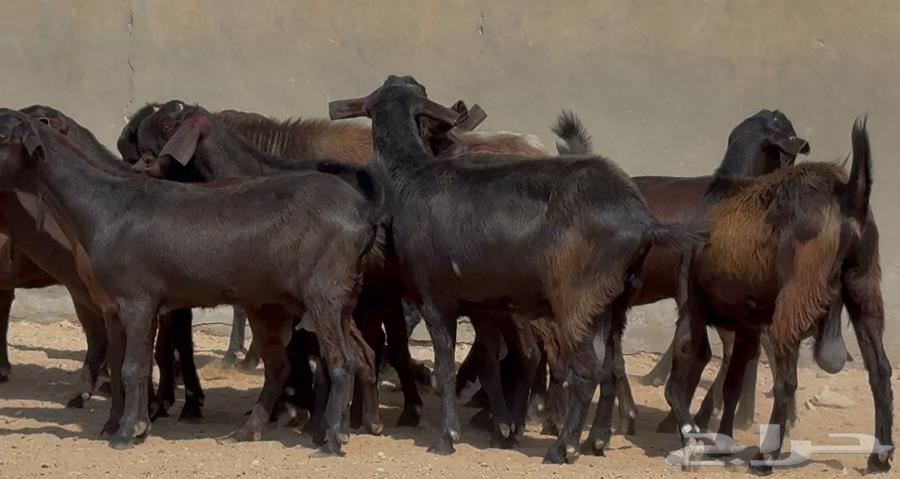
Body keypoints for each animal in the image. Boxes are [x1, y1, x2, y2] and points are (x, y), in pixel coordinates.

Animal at [0, 110, 377, 455]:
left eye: (3, 135)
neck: (103, 207)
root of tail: (364, 217)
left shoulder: (138, 300)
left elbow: (133, 367)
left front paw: (128, 432)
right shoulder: (117, 305)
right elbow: (127, 364)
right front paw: (127, 425)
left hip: (325, 293)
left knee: (340, 360)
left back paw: (332, 440)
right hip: (316, 300)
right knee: (315, 360)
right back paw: (254, 431)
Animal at [329, 75, 706, 462]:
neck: (413, 175)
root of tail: (643, 220)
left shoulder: (434, 300)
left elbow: (445, 369)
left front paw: (447, 437)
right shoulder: (483, 304)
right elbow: (488, 364)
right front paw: (503, 427)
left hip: (576, 301)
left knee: (587, 371)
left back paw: (564, 446)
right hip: (615, 304)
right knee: (610, 367)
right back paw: (596, 440)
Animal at [666, 118, 893, 474]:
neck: (728, 185)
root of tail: (848, 195)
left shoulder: (691, 307)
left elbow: (677, 382)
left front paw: (692, 442)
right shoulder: (748, 326)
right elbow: (732, 385)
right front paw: (722, 443)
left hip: (796, 300)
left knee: (787, 382)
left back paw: (766, 456)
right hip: (864, 291)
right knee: (880, 370)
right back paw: (880, 456)